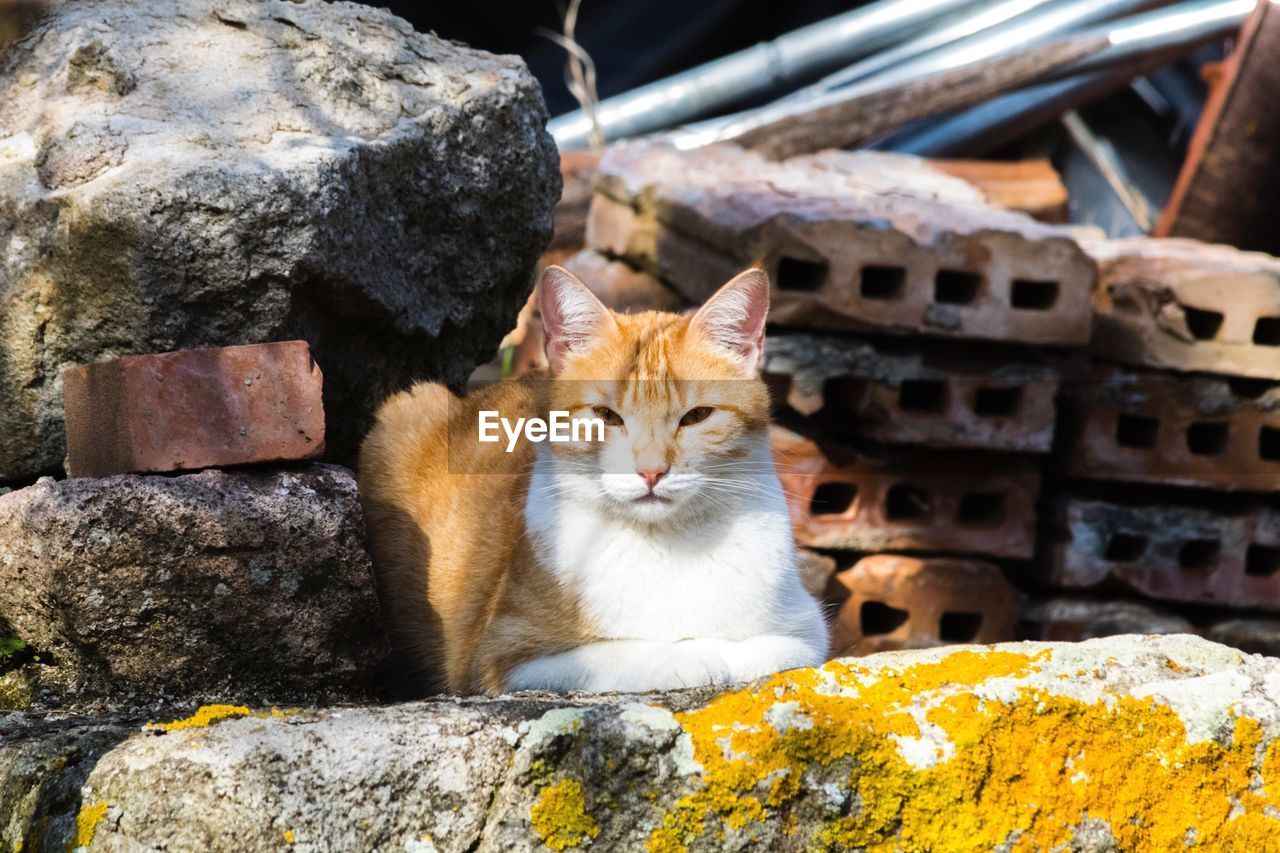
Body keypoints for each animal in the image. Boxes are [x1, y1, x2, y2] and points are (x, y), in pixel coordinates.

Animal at [358, 263, 829, 691]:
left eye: (696, 417)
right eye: (607, 416)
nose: (651, 470)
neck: (665, 546)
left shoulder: (807, 632)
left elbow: (761, 649)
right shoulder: (505, 656)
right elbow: (617, 654)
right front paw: (684, 657)